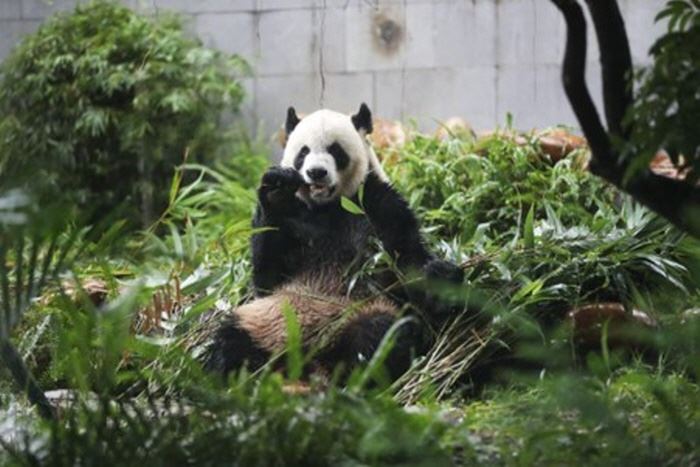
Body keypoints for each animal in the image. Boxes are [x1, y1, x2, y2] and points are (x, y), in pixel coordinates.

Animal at [204, 102, 464, 380]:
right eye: (303, 152)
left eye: (335, 150)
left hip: (359, 310)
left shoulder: (379, 205)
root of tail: (308, 355)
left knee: (380, 335)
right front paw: (277, 189)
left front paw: (442, 276)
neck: (328, 206)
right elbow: (267, 277)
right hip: (267, 320)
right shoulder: (292, 219)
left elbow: (407, 259)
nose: (316, 172)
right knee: (233, 340)